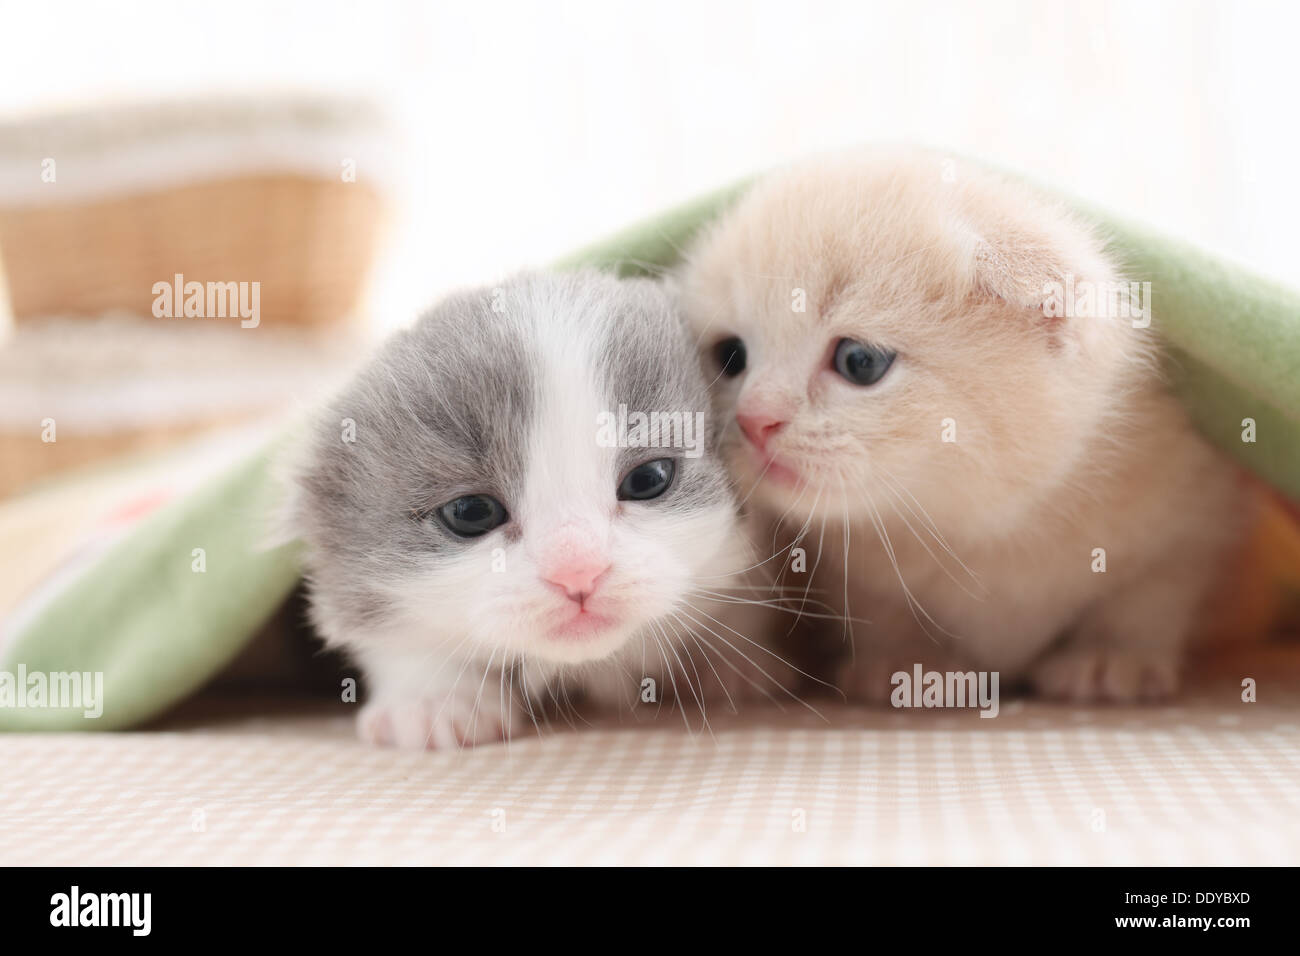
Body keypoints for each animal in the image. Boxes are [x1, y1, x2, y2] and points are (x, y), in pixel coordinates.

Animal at [670, 149, 1248, 702]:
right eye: (730, 356)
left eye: (860, 362)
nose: (754, 419)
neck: (985, 527)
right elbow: (877, 605)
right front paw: (906, 661)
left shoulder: (1192, 510)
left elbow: (1151, 594)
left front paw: (1112, 654)